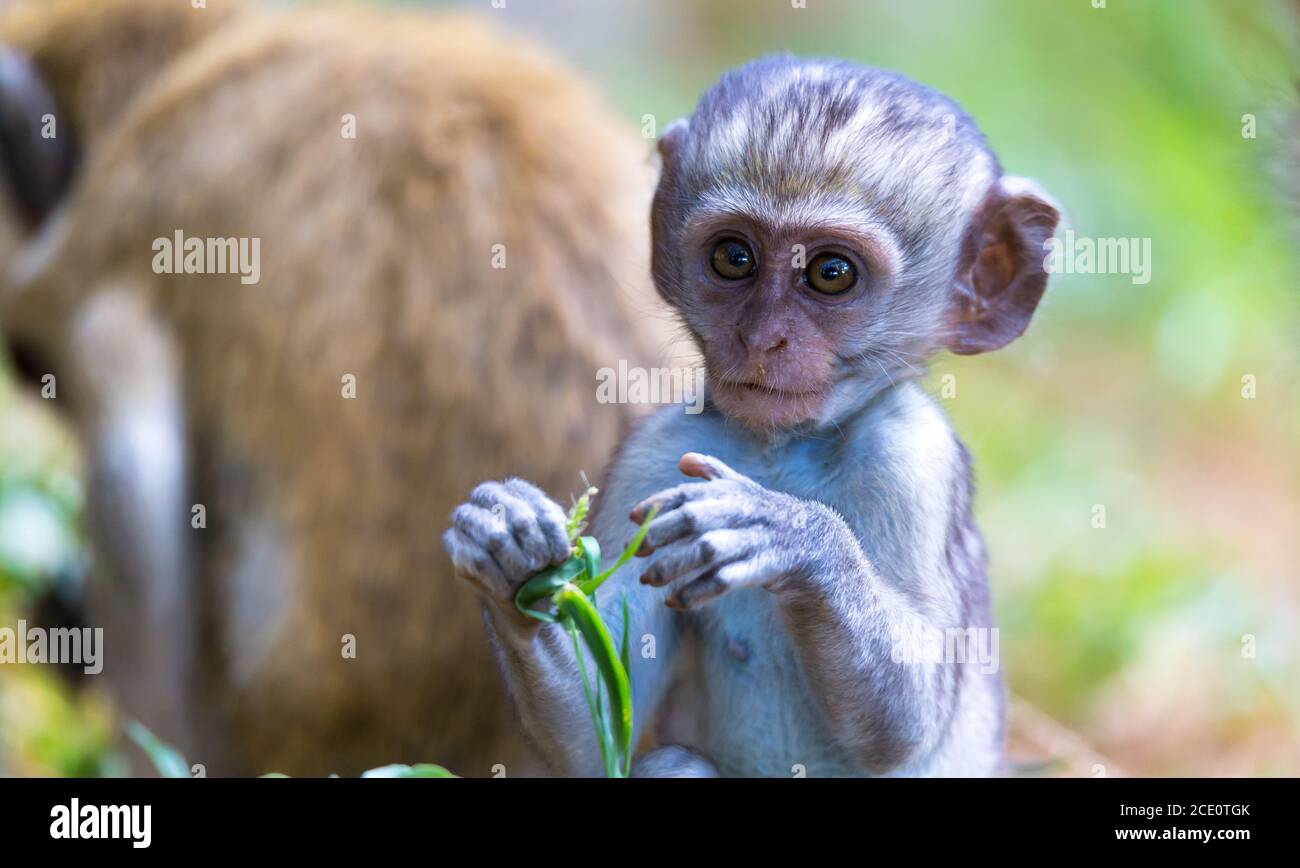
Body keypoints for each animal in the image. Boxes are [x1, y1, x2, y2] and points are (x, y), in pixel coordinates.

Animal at [445, 55, 1061, 777]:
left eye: (830, 273)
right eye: (734, 258)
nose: (762, 339)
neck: (783, 450)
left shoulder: (911, 455)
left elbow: (910, 722)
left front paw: (789, 534)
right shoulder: (658, 448)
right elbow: (595, 735)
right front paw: (508, 546)